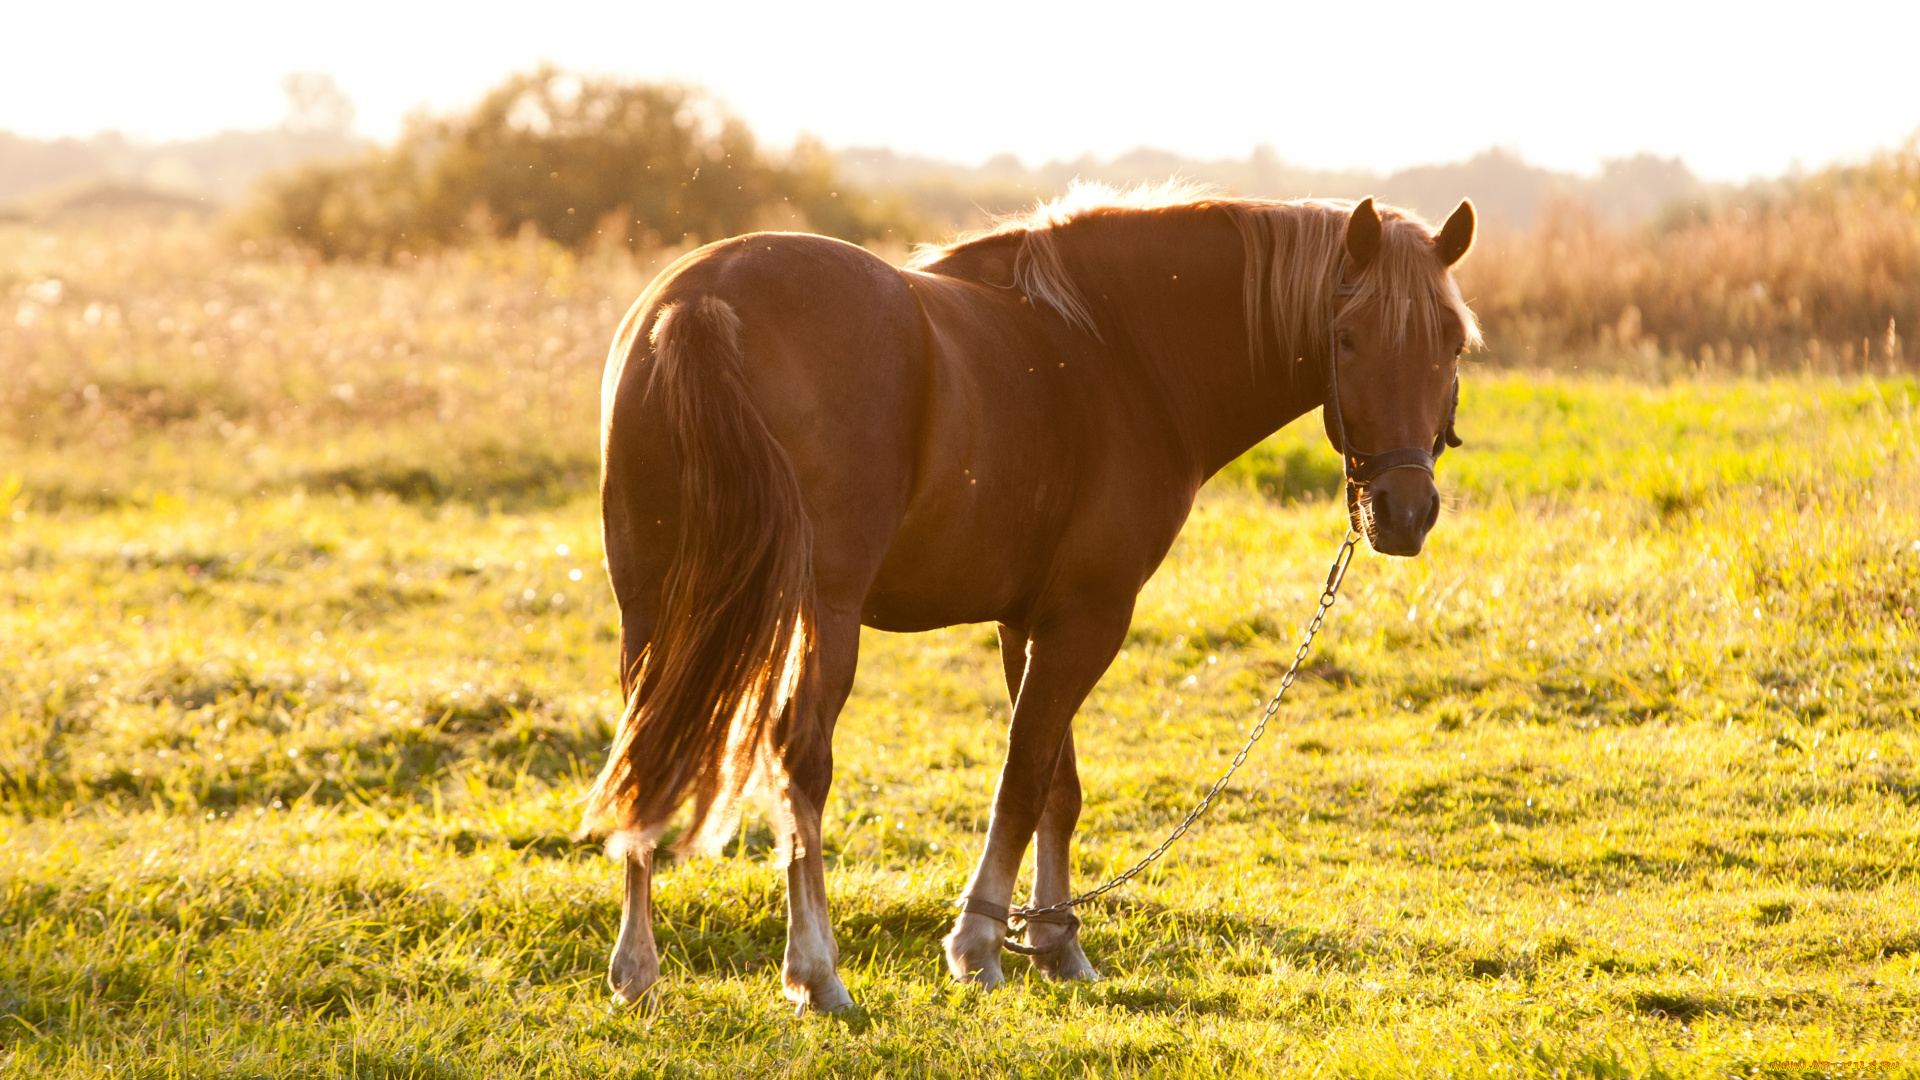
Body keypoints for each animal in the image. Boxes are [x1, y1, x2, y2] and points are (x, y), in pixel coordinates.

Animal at [576, 184, 1474, 1006]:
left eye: (1452, 342)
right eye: (1347, 338)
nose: (1403, 513)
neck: (1119, 353)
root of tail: (700, 304)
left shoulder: (1029, 621)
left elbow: (1056, 787)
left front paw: (1054, 942)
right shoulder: (1091, 617)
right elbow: (1023, 775)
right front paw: (981, 944)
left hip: (651, 606)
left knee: (646, 748)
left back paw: (637, 969)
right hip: (820, 611)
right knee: (801, 760)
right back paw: (816, 972)